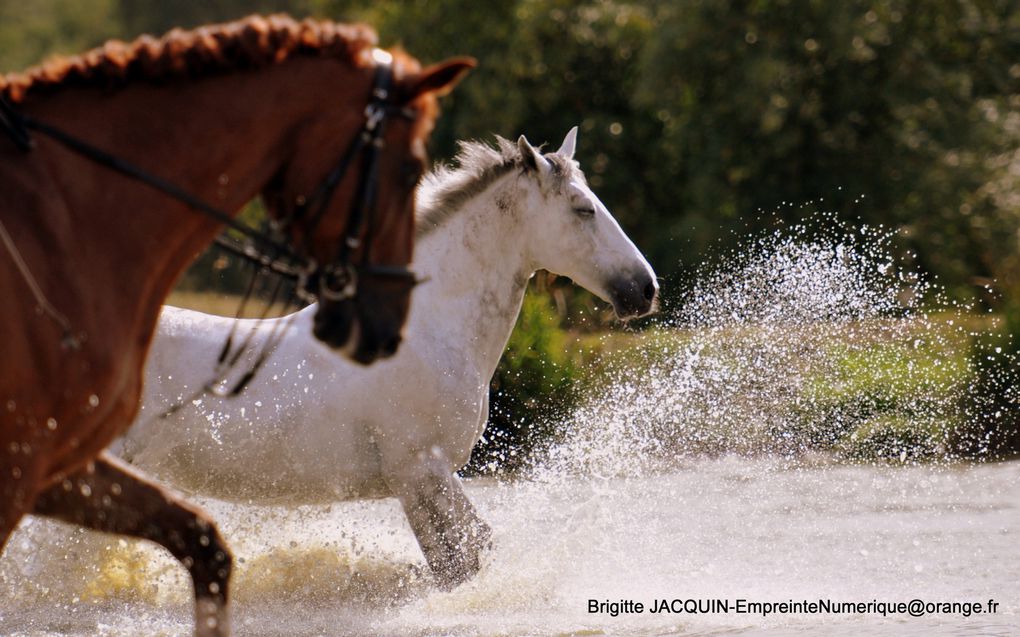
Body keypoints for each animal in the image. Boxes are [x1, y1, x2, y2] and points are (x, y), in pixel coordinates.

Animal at [119, 127, 656, 587]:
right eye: (583, 209)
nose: (645, 289)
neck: (426, 332)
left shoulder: (416, 482)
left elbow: (455, 563)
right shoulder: (421, 469)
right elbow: (471, 554)